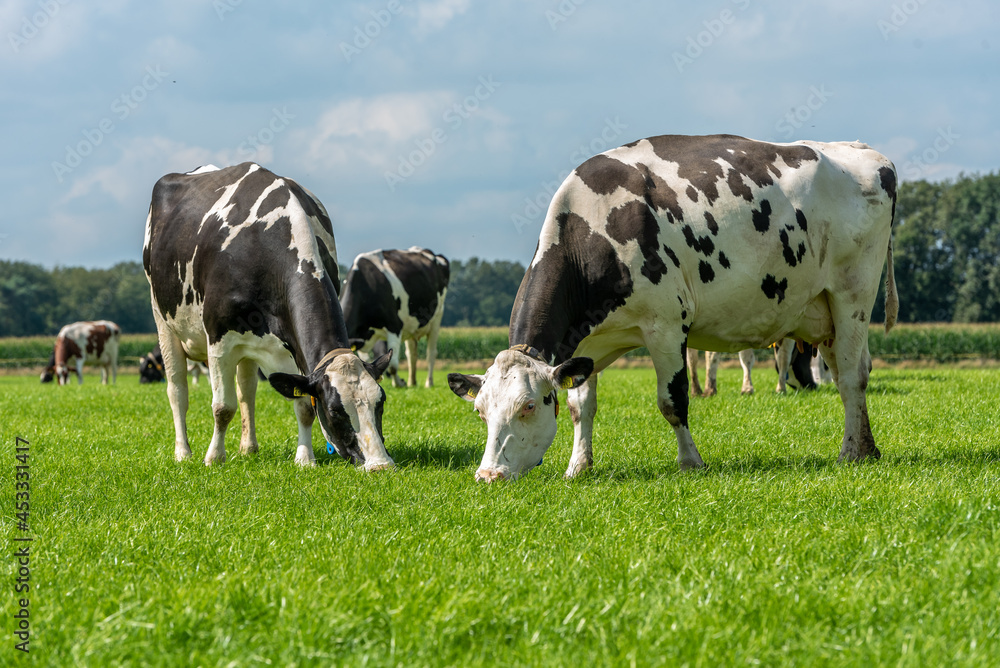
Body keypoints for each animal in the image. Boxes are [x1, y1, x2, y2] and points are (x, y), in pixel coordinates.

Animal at [143, 162, 395, 470]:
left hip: (249, 346)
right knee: (177, 390)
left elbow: (302, 405)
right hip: (162, 320)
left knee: (246, 389)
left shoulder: (292, 350)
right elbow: (221, 407)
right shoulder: (219, 340)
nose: (380, 465)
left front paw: (305, 458)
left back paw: (248, 447)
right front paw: (214, 457)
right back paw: (183, 452)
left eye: (381, 402)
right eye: (336, 410)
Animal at [340, 247, 449, 388]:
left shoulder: (395, 326)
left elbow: (392, 365)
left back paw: (428, 383)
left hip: (437, 318)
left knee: (431, 353)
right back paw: (412, 382)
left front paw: (399, 384)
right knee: (411, 354)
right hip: (411, 325)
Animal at [448, 134, 898, 482]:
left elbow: (673, 400)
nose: (488, 475)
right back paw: (867, 447)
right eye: (480, 411)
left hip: (853, 296)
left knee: (852, 376)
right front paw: (578, 467)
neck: (592, 229)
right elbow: (579, 407)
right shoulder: (585, 344)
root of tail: (866, 152)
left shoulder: (664, 327)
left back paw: (850, 452)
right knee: (847, 371)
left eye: (527, 406)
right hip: (822, 313)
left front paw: (690, 461)